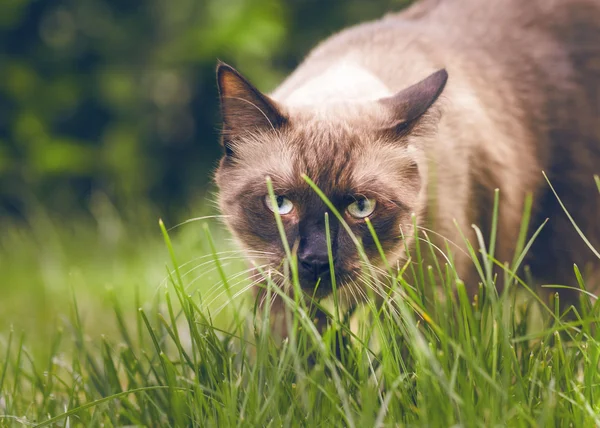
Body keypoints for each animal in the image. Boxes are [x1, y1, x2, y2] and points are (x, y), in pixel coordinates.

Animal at [213, 0, 600, 318]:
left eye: (362, 208)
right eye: (279, 204)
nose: (317, 260)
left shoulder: (434, 302)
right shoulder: (278, 296)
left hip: (568, 260)